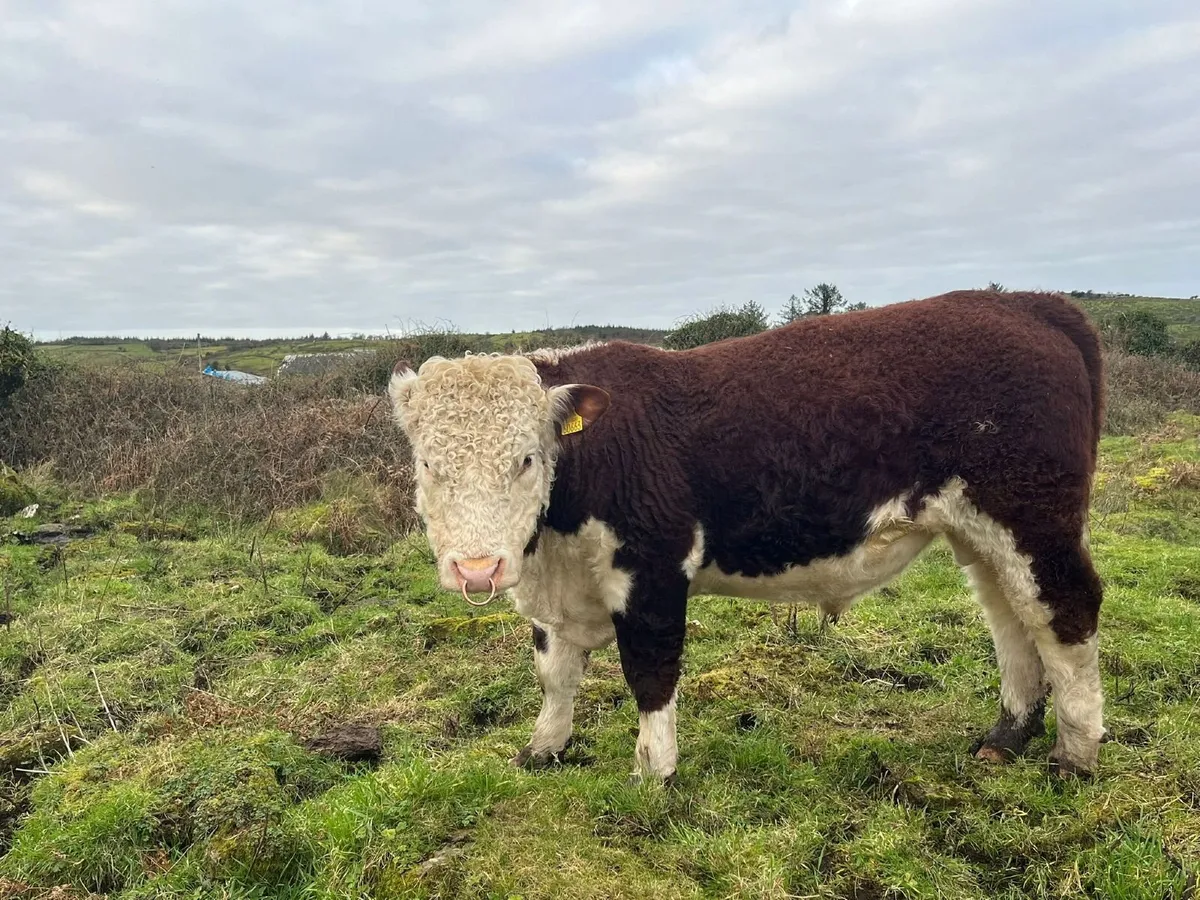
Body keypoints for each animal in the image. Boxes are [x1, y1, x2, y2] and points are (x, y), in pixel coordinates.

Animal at [388, 289, 1106, 783]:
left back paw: (1075, 754)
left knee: (1065, 611)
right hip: (981, 532)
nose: (476, 569)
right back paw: (1005, 737)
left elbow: (650, 672)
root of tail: (1027, 303)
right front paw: (544, 749)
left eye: (526, 459)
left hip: (1034, 515)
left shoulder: (653, 570)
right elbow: (554, 673)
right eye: (426, 464)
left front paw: (653, 772)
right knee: (1011, 618)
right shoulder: (556, 588)